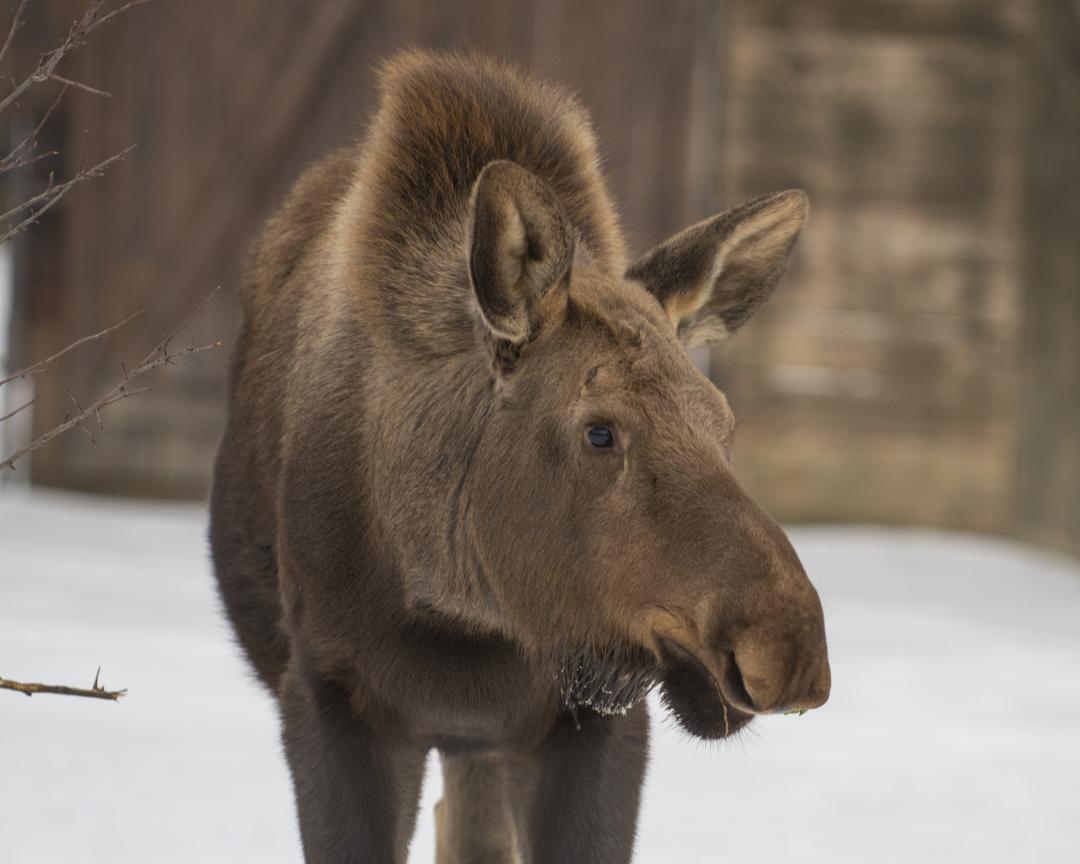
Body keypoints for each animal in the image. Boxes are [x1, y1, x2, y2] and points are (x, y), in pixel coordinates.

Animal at [212, 50, 833, 859]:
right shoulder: (329, 696)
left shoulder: (593, 720)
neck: (459, 610)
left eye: (724, 424)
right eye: (599, 430)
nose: (788, 648)